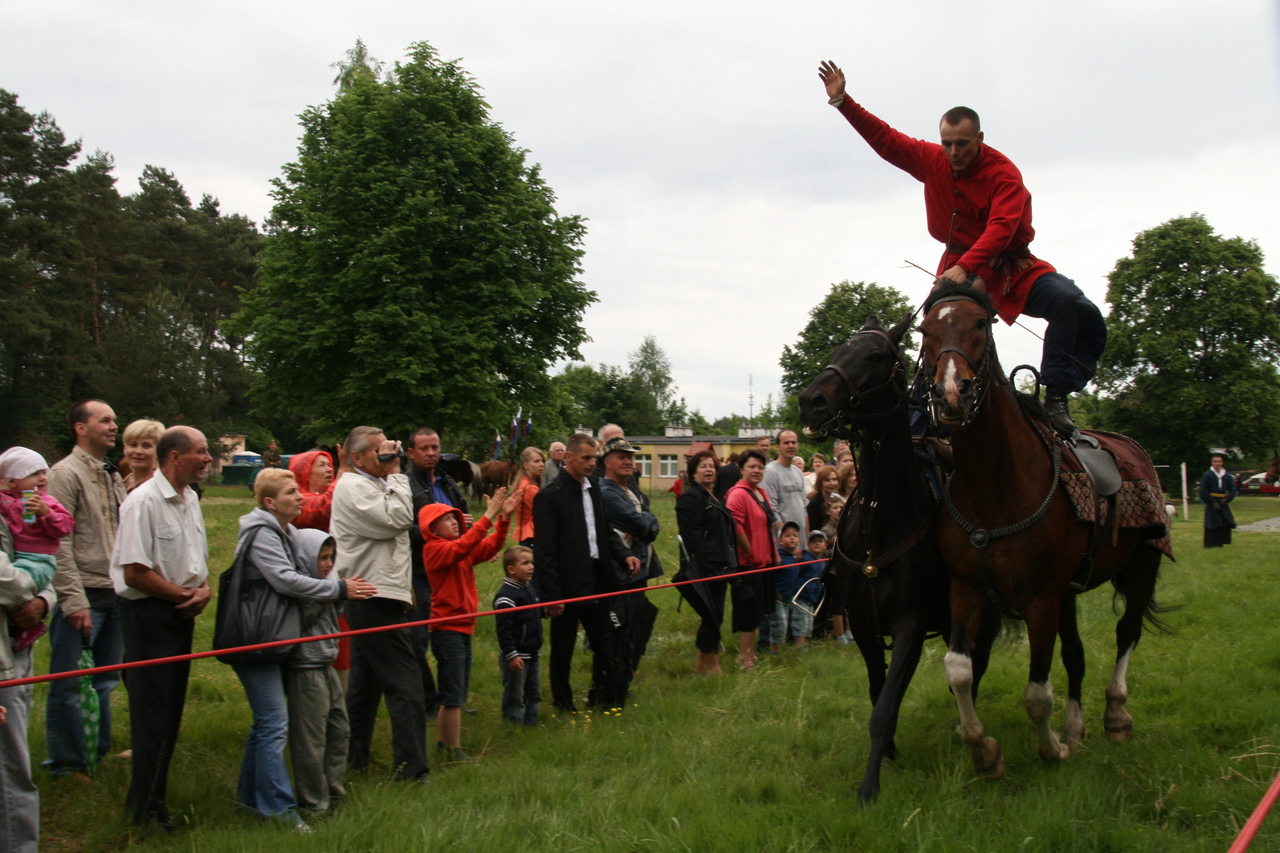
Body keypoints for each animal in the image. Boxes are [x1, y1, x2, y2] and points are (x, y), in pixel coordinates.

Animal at [798, 311, 977, 799]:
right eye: (839, 348)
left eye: (876, 356)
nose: (810, 401)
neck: (882, 521)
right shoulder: (862, 623)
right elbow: (878, 693)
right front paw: (891, 751)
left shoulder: (910, 626)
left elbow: (885, 707)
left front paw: (870, 786)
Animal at [921, 281, 1172, 773]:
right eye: (925, 330)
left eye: (980, 324)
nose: (951, 392)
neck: (996, 486)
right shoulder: (967, 587)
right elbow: (960, 669)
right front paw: (982, 746)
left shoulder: (1039, 598)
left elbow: (1037, 692)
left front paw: (1051, 749)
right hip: (1069, 593)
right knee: (1075, 653)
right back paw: (1076, 727)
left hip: (1143, 563)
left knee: (1127, 631)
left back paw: (1115, 714)